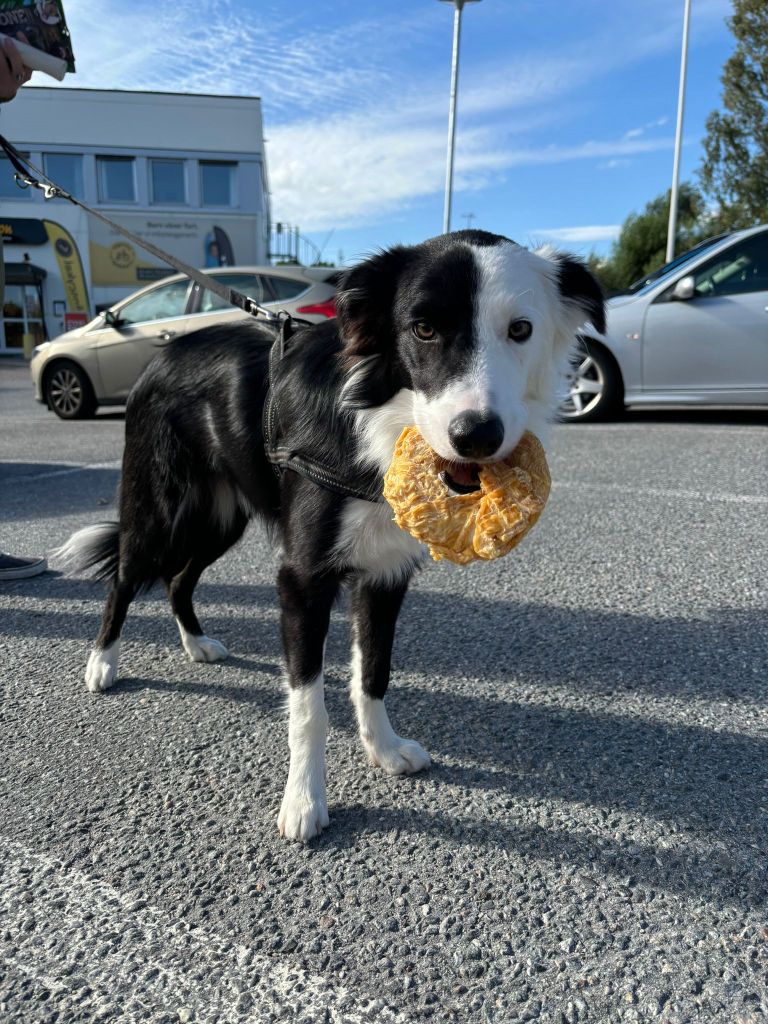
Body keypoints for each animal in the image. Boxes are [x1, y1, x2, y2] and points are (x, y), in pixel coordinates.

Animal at [60, 230, 606, 839]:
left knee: (180, 579)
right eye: (423, 329)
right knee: (126, 577)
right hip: (159, 508)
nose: (476, 436)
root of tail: (164, 352)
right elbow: (309, 708)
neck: (380, 427)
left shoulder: (386, 575)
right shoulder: (302, 578)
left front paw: (383, 749)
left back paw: (196, 643)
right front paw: (303, 800)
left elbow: (374, 672)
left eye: (520, 330)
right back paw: (102, 664)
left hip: (221, 519)